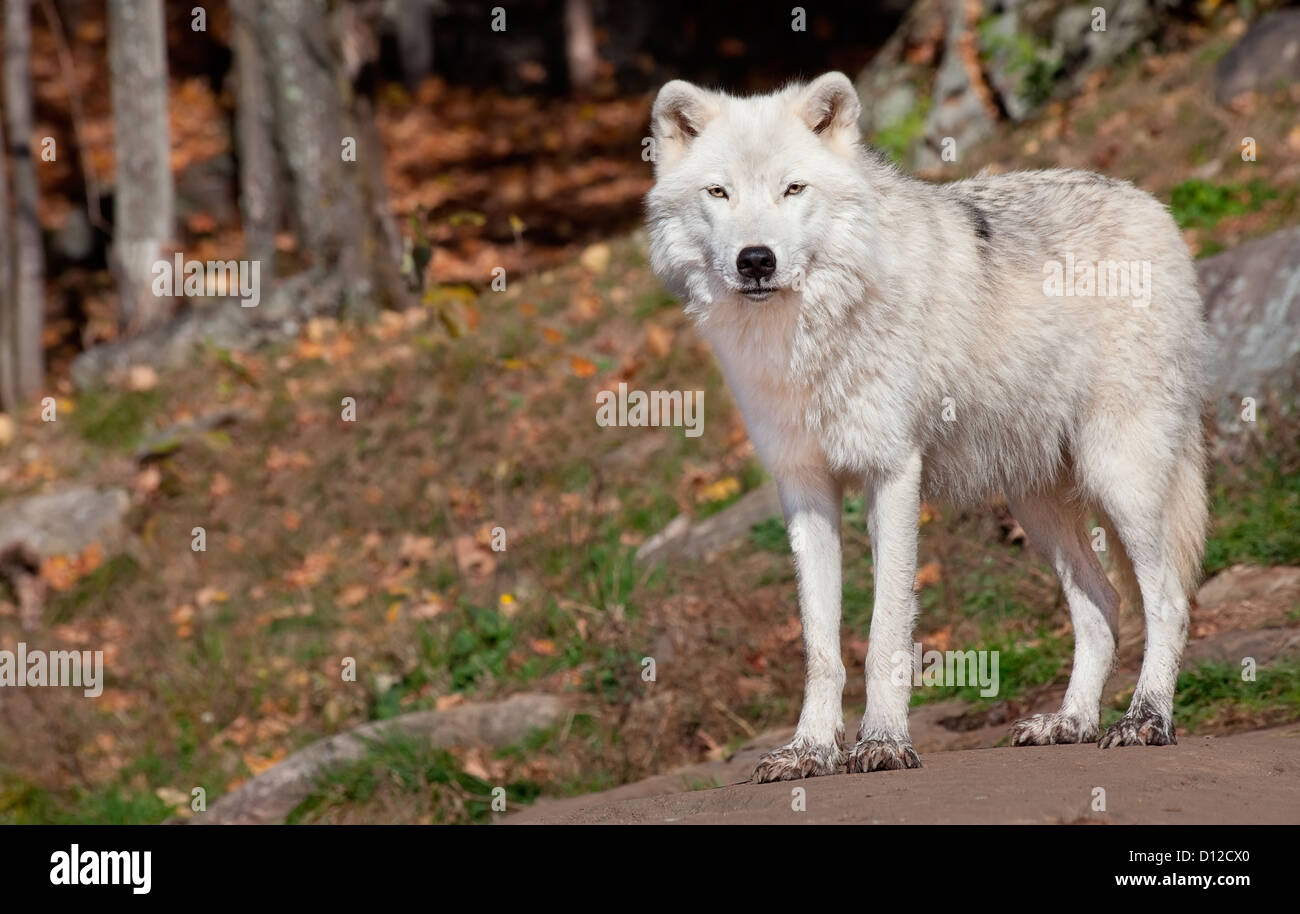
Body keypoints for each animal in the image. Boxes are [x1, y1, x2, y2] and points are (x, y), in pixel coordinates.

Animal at [644, 75, 1211, 785]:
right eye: (718, 193)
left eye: (793, 189)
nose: (755, 260)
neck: (806, 338)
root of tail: (1151, 204)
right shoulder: (803, 488)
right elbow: (819, 646)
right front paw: (809, 752)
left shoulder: (892, 473)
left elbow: (886, 629)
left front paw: (884, 742)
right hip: (1036, 502)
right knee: (1103, 604)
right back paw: (1072, 722)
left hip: (1120, 476)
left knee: (1169, 601)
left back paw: (1145, 720)